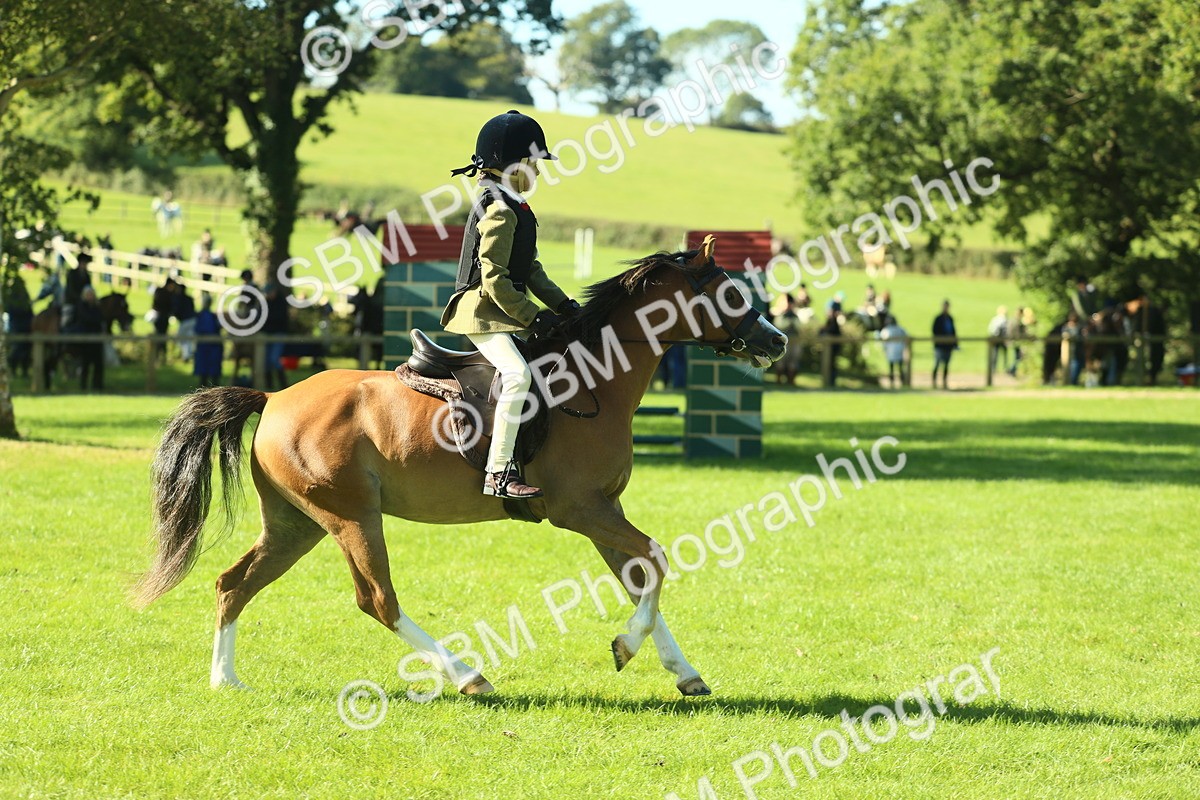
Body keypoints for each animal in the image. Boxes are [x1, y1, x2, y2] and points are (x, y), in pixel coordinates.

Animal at [133, 237, 787, 698]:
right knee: (377, 600)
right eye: (730, 293)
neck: (596, 378)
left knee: (234, 583)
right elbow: (655, 559)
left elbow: (640, 574)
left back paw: (225, 681)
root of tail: (272, 397)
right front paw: (627, 646)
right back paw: (470, 677)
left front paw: (683, 672)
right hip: (350, 518)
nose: (776, 342)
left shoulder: (605, 508)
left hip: (297, 523)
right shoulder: (579, 509)